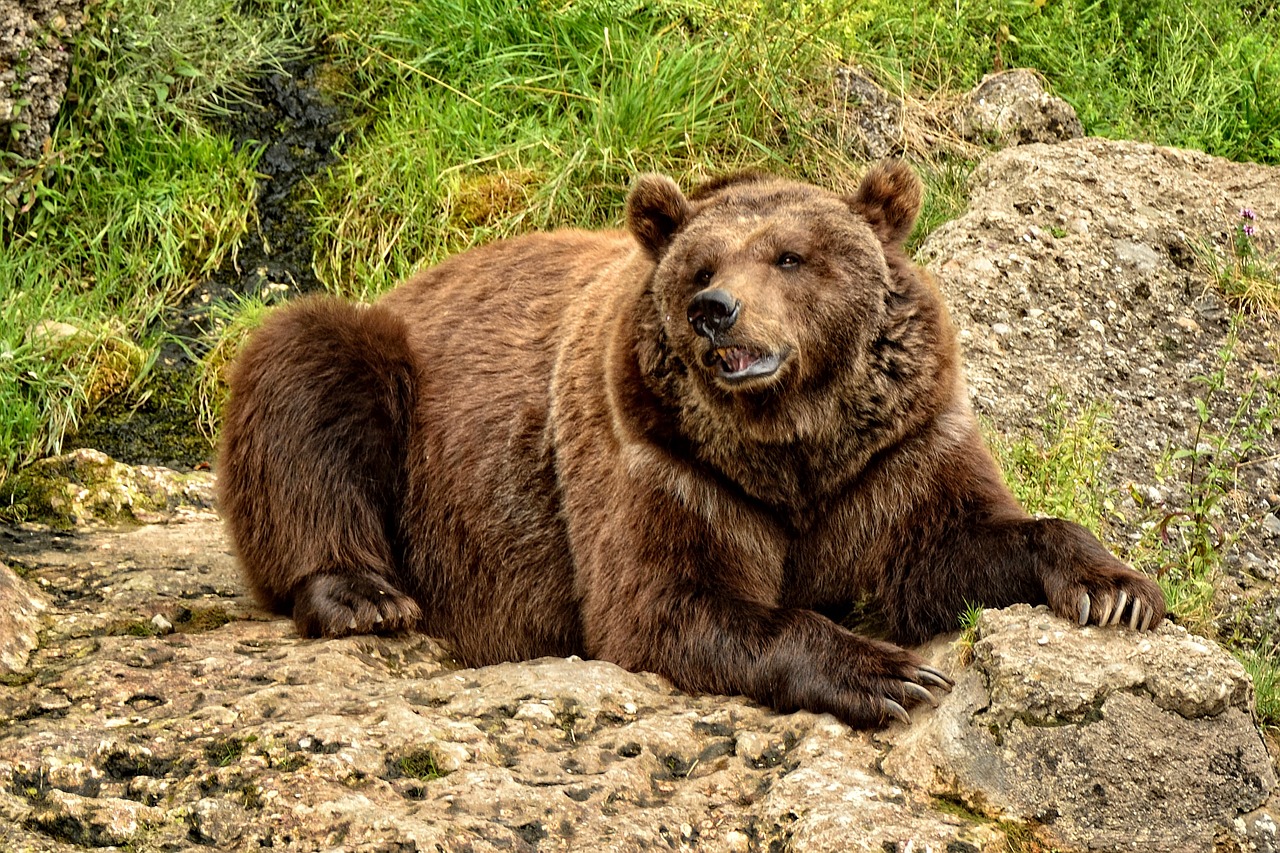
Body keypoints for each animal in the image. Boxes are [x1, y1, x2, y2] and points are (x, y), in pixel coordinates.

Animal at [222, 162, 1172, 727]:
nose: (715, 310)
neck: (791, 443)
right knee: (303, 366)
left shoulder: (894, 453)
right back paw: (362, 593)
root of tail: (413, 280)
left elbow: (948, 545)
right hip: (399, 380)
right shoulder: (663, 460)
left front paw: (1114, 588)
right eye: (702, 265)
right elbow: (669, 601)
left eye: (791, 256)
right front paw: (887, 673)